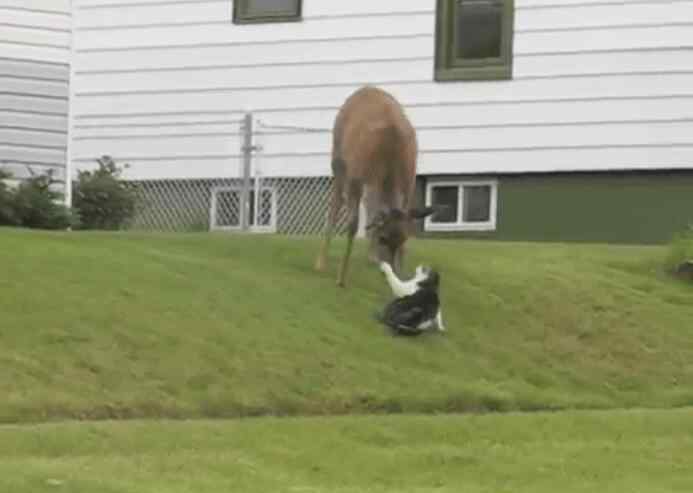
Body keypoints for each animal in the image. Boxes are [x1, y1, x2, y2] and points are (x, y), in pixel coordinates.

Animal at [314, 86, 438, 286]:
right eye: (383, 238)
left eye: (403, 239)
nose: (392, 272)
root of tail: (365, 88)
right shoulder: (356, 176)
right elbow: (353, 224)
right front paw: (341, 278)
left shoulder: (409, 182)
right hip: (338, 160)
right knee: (335, 205)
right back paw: (321, 263)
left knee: (370, 208)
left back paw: (369, 256)